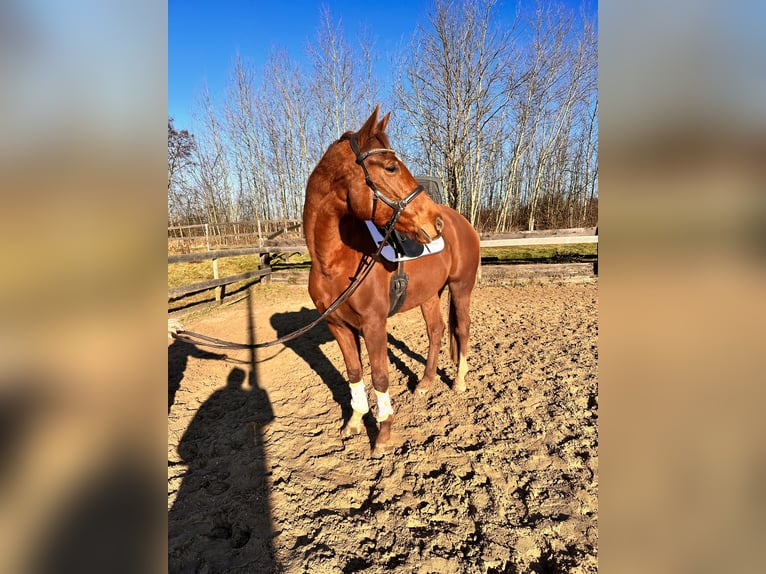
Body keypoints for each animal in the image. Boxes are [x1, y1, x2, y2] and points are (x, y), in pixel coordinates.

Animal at [303, 105, 480, 456]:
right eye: (390, 167)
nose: (435, 222)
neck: (336, 261)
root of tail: (461, 222)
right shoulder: (338, 325)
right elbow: (355, 373)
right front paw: (354, 422)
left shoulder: (374, 324)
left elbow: (381, 377)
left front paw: (383, 435)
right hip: (429, 295)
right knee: (437, 331)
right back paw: (425, 384)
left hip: (461, 288)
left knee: (462, 330)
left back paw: (458, 383)